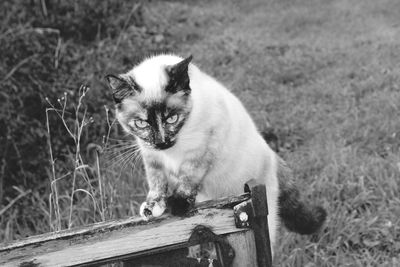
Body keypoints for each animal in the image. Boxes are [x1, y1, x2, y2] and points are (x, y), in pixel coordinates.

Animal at [105, 54, 324, 253]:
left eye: (172, 119)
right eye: (141, 123)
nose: (161, 142)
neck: (173, 150)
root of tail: (271, 153)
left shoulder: (202, 149)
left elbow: (188, 177)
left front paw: (178, 204)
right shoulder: (150, 155)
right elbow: (157, 182)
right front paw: (153, 207)